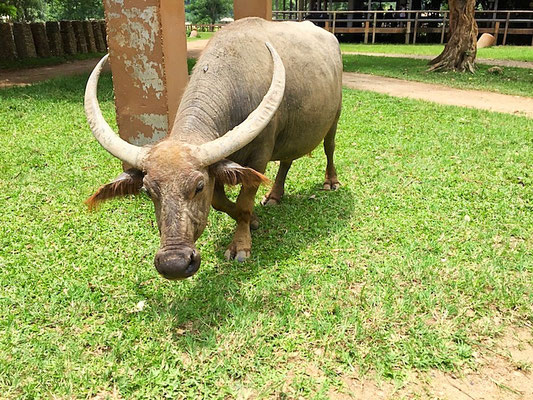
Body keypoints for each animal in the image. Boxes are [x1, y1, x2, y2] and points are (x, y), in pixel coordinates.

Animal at [84, 17, 340, 280]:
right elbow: (220, 203)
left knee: (329, 147)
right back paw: (274, 196)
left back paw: (330, 181)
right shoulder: (217, 167)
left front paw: (241, 245)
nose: (174, 264)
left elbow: (244, 203)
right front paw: (254, 221)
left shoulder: (259, 157)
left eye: (198, 187)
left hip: (335, 117)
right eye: (147, 191)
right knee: (287, 160)